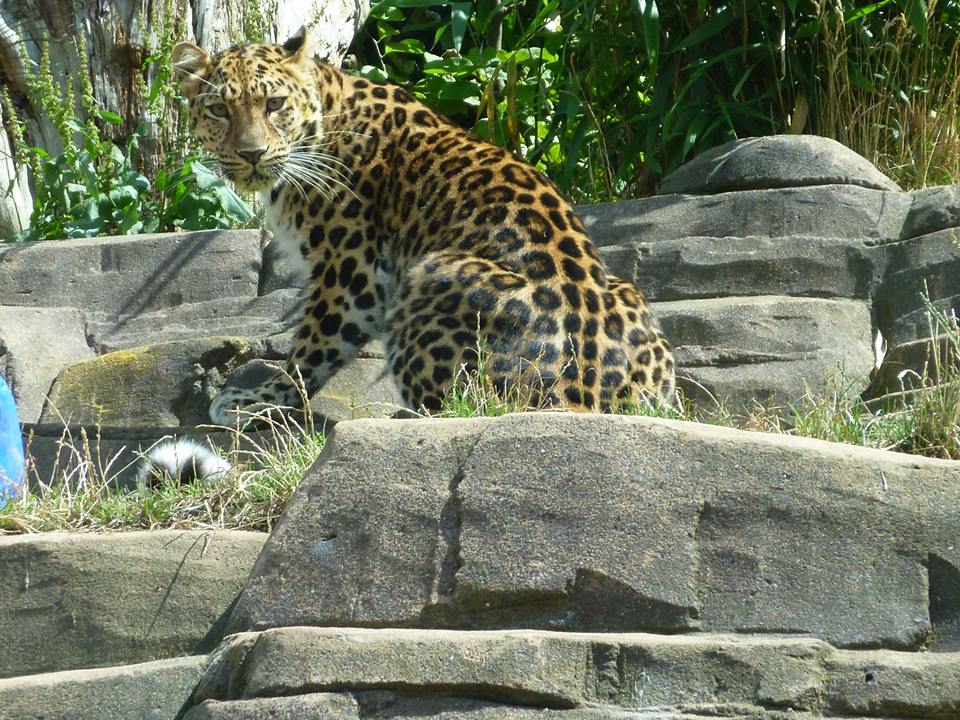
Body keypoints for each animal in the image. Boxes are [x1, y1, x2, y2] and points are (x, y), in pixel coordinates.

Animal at [171, 28, 675, 424]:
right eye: (219, 111)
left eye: (274, 104)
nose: (252, 153)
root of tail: (585, 397)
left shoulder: (349, 270)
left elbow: (313, 346)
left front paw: (257, 400)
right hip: (626, 291)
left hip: (429, 274)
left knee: (462, 407)